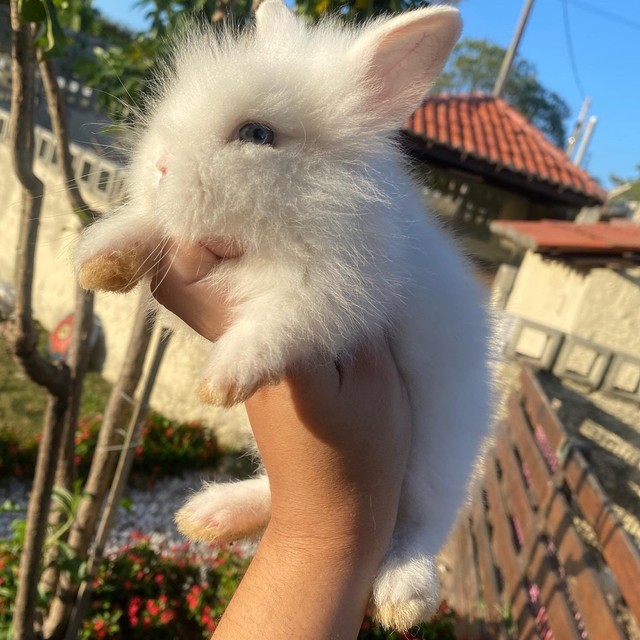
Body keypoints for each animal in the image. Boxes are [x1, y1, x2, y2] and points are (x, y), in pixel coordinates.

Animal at [77, 0, 492, 632]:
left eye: (257, 134)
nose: (161, 167)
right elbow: (151, 227)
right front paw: (102, 260)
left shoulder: (332, 296)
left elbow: (278, 326)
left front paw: (222, 380)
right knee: (276, 491)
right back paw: (212, 514)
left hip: (441, 459)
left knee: (416, 527)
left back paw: (405, 596)